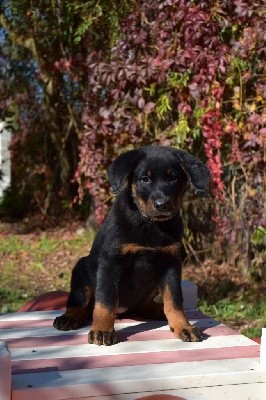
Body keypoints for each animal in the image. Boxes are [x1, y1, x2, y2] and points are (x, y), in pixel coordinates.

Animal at [53, 145, 210, 346]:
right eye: (145, 179)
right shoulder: (110, 261)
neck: (150, 223)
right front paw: (102, 330)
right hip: (82, 271)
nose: (162, 205)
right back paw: (69, 317)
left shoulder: (171, 263)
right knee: (78, 302)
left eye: (173, 178)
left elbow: (174, 300)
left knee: (141, 306)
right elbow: (106, 300)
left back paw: (156, 309)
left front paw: (183, 326)